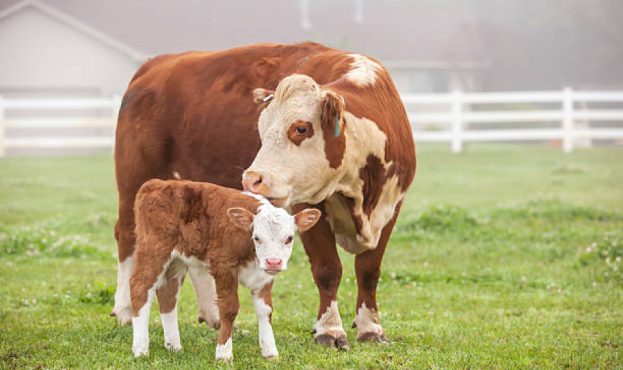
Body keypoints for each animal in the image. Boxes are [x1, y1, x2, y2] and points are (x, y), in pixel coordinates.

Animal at [129, 179, 320, 362]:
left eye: (289, 238)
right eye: (257, 237)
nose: (273, 262)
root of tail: (156, 183)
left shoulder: (264, 277)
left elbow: (266, 310)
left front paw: (270, 352)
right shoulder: (223, 265)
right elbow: (229, 308)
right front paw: (224, 354)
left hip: (176, 260)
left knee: (167, 294)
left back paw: (174, 346)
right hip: (154, 249)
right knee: (139, 286)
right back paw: (141, 349)